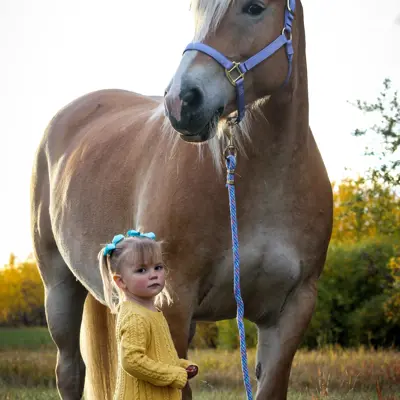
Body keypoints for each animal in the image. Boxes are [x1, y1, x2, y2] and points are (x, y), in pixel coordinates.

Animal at [29, 0, 332, 400]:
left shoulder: (292, 311)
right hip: (59, 290)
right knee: (70, 371)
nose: (181, 101)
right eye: (197, 10)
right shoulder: (172, 305)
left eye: (254, 7)